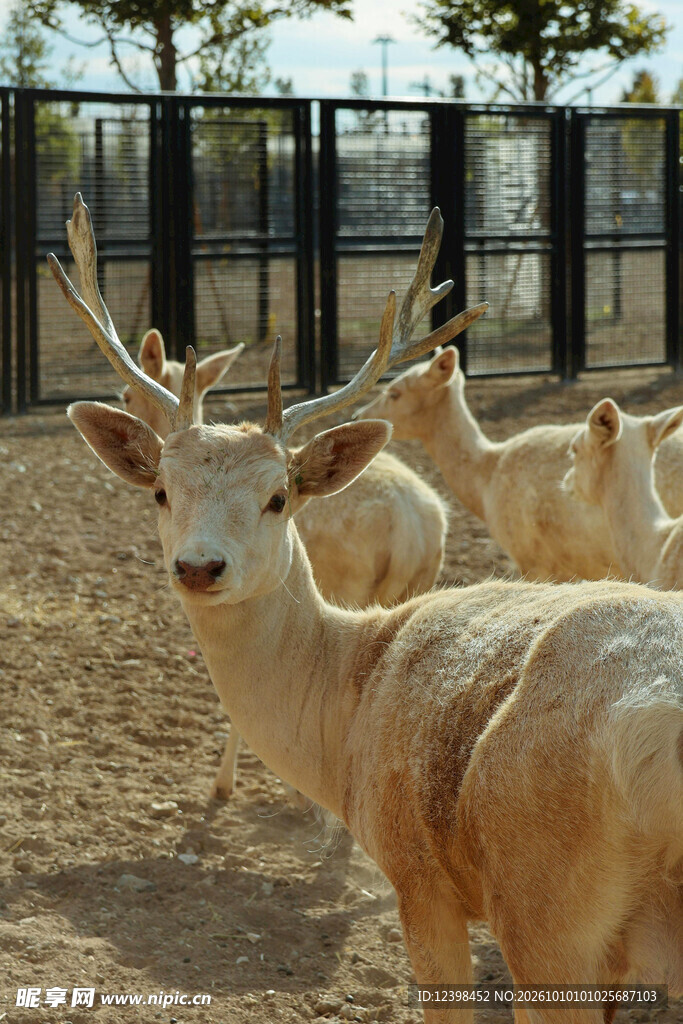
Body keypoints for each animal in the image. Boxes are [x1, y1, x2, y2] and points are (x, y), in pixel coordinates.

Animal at [123, 329, 448, 801]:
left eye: (279, 499)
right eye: (160, 491)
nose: (197, 567)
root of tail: (410, 526)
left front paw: (224, 784)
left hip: (349, 582)